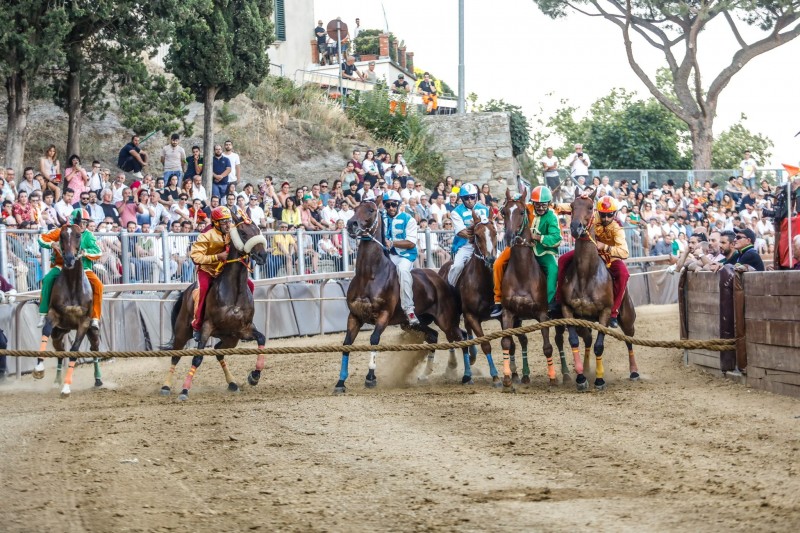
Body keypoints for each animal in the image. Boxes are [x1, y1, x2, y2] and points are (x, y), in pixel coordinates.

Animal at [161, 208, 270, 400]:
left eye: (257, 230)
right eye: (243, 233)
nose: (262, 255)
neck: (234, 292)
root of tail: (187, 291)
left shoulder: (244, 329)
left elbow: (262, 339)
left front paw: (254, 376)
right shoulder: (207, 327)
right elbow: (197, 358)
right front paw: (184, 389)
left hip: (231, 338)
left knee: (219, 352)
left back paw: (232, 383)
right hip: (182, 331)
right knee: (176, 355)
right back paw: (166, 386)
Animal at [336, 198, 468, 390]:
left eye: (371, 210)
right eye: (355, 208)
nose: (351, 224)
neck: (369, 275)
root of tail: (443, 282)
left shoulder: (383, 315)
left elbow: (374, 339)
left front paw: (370, 377)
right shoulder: (355, 316)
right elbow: (347, 344)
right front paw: (340, 382)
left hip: (446, 320)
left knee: (461, 338)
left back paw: (467, 374)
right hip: (416, 323)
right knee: (434, 336)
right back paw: (426, 374)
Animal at [438, 210, 500, 384]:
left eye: (495, 232)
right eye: (477, 235)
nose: (490, 259)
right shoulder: (471, 315)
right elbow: (485, 344)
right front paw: (495, 376)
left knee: (465, 335)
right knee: (455, 338)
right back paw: (462, 370)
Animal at [560, 188, 640, 390]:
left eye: (590, 207)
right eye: (572, 206)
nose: (576, 228)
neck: (586, 275)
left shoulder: (604, 312)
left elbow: (599, 346)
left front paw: (599, 379)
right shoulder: (568, 310)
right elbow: (575, 341)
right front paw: (581, 377)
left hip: (627, 319)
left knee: (629, 340)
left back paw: (634, 371)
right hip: (585, 321)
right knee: (587, 339)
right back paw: (586, 367)